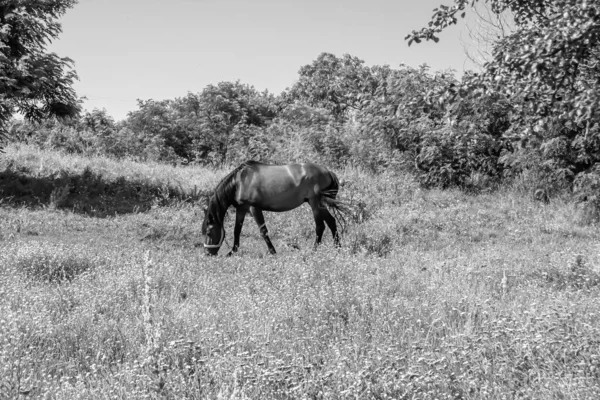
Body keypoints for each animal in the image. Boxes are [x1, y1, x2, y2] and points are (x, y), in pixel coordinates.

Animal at [200, 160, 342, 256]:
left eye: (208, 232)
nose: (208, 253)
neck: (240, 182)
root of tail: (328, 172)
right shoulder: (241, 209)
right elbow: (237, 230)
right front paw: (232, 251)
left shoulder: (254, 208)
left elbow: (263, 231)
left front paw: (273, 251)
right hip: (320, 204)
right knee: (331, 222)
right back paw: (338, 248)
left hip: (315, 203)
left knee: (320, 226)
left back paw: (314, 250)